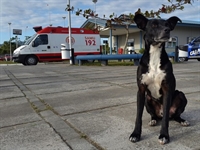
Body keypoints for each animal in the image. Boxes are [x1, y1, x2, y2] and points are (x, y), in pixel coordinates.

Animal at [130, 14, 189, 144]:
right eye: (154, 25)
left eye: (167, 25)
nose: (167, 30)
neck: (155, 54)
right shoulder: (141, 91)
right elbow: (138, 116)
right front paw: (136, 134)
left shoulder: (167, 90)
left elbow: (166, 118)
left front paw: (164, 135)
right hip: (147, 99)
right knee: (154, 115)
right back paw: (153, 120)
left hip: (181, 95)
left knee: (173, 116)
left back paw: (182, 120)